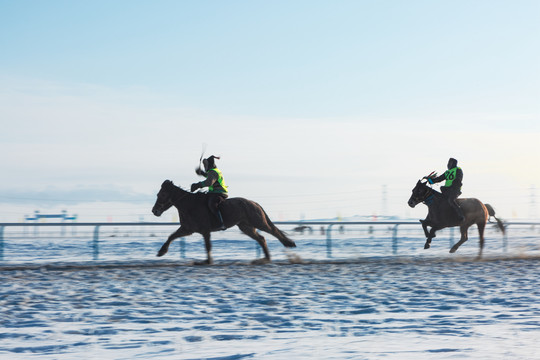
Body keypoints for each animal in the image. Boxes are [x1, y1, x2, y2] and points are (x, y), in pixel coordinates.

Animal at [151, 180, 296, 264]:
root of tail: (254, 203)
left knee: (273, 231)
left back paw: (289, 244)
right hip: (246, 227)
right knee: (261, 238)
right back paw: (266, 258)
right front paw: (161, 252)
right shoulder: (187, 229)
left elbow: (208, 246)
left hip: (258, 222)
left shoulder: (205, 231)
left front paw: (208, 261)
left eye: (162, 194)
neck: (190, 205)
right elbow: (171, 237)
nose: (154, 211)